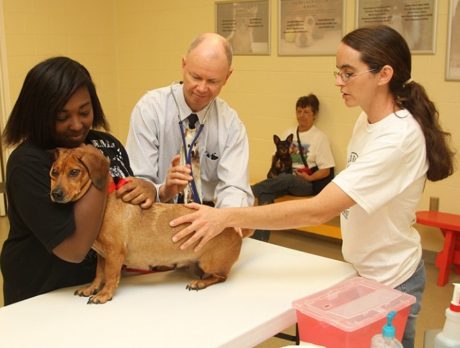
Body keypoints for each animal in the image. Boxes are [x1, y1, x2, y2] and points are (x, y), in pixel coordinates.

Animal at [49, 147, 250, 304]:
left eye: (74, 172)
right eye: (54, 173)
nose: (55, 194)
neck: (105, 204)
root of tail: (233, 228)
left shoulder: (114, 254)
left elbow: (111, 276)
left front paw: (104, 294)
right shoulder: (102, 256)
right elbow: (99, 275)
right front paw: (91, 288)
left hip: (210, 264)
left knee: (221, 277)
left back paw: (200, 283)